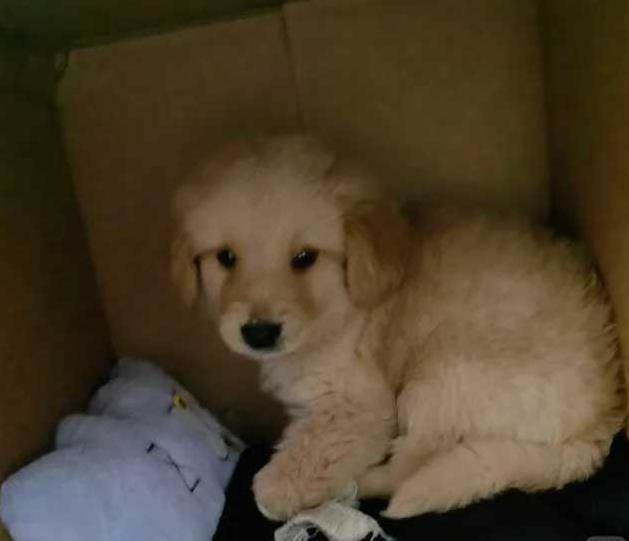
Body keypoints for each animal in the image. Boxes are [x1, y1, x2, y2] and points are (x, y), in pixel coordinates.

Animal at [171, 135, 624, 520]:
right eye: (225, 257)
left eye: (305, 258)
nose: (259, 333)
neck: (342, 307)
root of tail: (601, 425)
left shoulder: (358, 405)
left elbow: (309, 452)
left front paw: (273, 490)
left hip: (442, 376)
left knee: (411, 462)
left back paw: (361, 486)